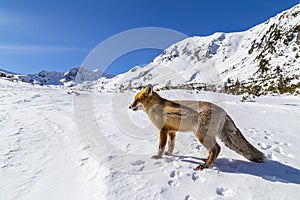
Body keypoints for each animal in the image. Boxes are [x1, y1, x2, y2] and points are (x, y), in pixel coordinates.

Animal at [129, 84, 268, 170]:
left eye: (137, 100)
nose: (129, 107)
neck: (156, 107)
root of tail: (223, 111)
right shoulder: (172, 131)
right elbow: (171, 146)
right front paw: (169, 154)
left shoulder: (162, 130)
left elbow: (160, 147)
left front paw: (159, 157)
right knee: (214, 150)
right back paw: (205, 161)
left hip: (201, 135)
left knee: (216, 149)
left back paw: (205, 166)